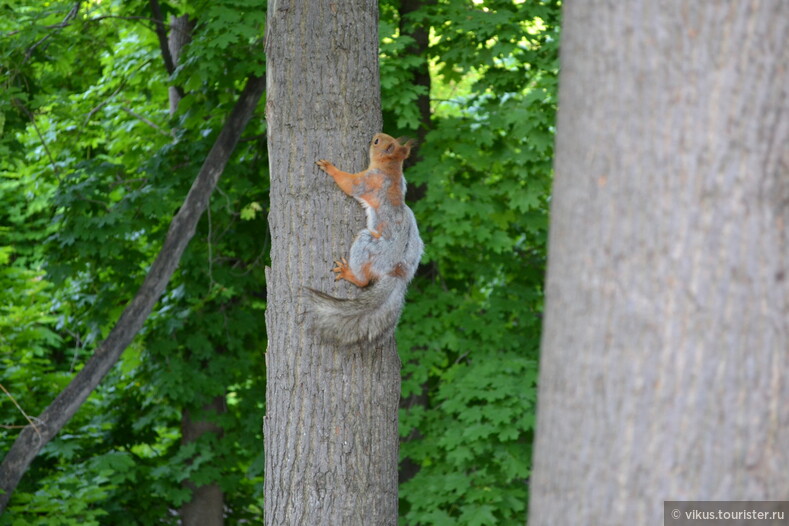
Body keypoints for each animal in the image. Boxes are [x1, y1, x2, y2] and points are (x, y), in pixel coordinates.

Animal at [304, 132, 424, 346]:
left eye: (377, 142)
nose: (374, 135)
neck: (391, 169)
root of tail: (395, 271)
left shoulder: (369, 180)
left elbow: (350, 184)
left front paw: (329, 167)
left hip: (368, 245)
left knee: (363, 280)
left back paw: (349, 273)